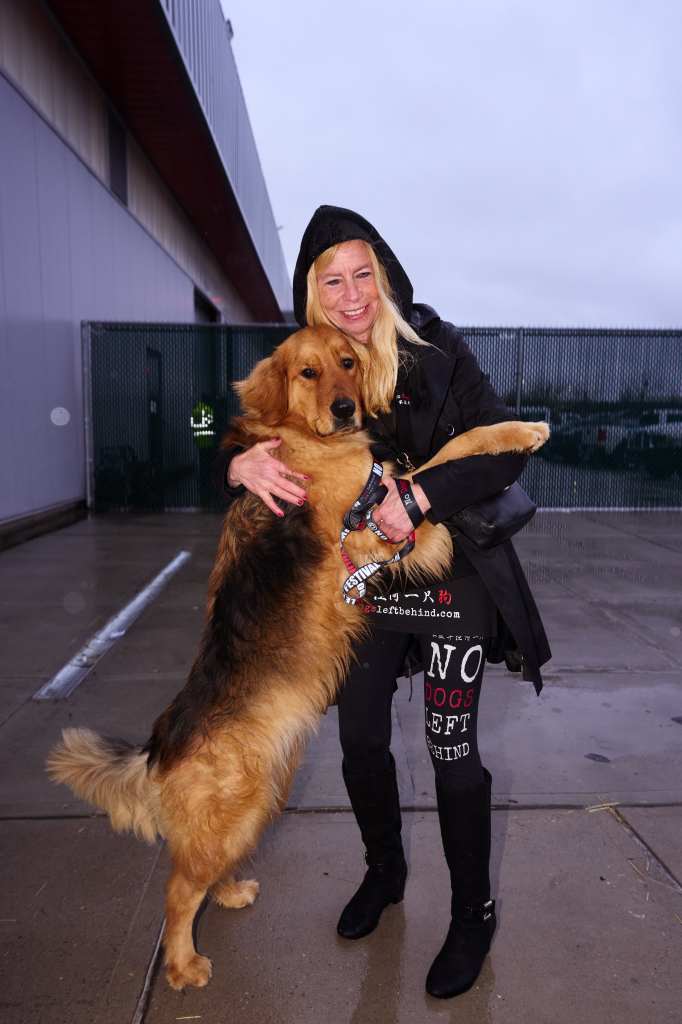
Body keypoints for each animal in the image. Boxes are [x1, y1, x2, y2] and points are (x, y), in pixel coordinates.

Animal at [46, 323, 548, 987]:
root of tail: (160, 746)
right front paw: (524, 430)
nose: (345, 409)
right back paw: (182, 966)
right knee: (178, 891)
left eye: (347, 363)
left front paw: (520, 430)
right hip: (237, 805)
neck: (301, 438)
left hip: (263, 799)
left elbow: (446, 451)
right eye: (307, 372)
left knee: (206, 874)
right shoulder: (383, 525)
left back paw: (230, 893)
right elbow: (451, 450)